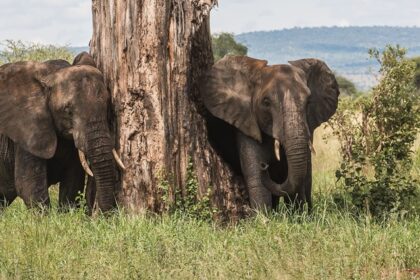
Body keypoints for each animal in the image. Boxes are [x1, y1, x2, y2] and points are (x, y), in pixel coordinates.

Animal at [0, 51, 124, 211]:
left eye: (108, 105)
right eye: (67, 110)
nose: (108, 214)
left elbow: (73, 183)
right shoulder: (27, 130)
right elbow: (28, 186)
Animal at [202, 56, 340, 210]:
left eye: (309, 101)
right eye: (266, 102)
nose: (264, 166)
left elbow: (298, 177)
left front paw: (298, 214)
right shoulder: (247, 121)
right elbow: (257, 180)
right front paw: (263, 216)